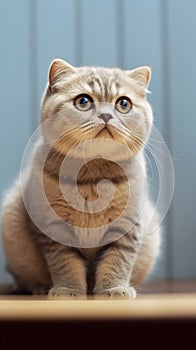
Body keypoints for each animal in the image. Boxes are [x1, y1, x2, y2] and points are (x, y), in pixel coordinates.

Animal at [0, 58, 161, 298]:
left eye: (123, 104)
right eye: (83, 101)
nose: (106, 116)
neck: (92, 178)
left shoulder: (126, 225)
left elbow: (117, 261)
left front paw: (114, 288)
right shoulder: (53, 227)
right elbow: (65, 263)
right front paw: (69, 289)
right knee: (22, 279)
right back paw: (38, 288)